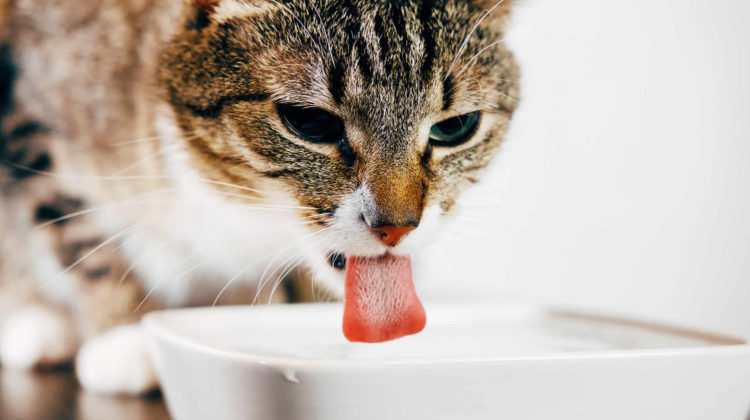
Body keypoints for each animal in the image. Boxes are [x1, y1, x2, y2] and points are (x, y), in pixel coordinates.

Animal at [0, 0, 516, 394]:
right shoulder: (28, 112)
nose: (397, 227)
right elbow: (80, 235)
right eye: (309, 122)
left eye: (456, 127)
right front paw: (122, 331)